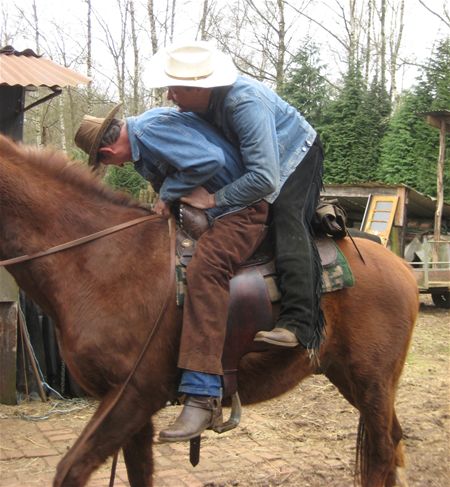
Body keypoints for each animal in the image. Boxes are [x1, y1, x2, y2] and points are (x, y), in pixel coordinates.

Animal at [0, 136, 418, 487]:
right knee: (392, 443)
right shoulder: (132, 412)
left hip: (372, 382)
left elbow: (70, 470)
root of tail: (400, 265)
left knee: (382, 453)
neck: (102, 259)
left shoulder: (132, 396)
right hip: (350, 377)